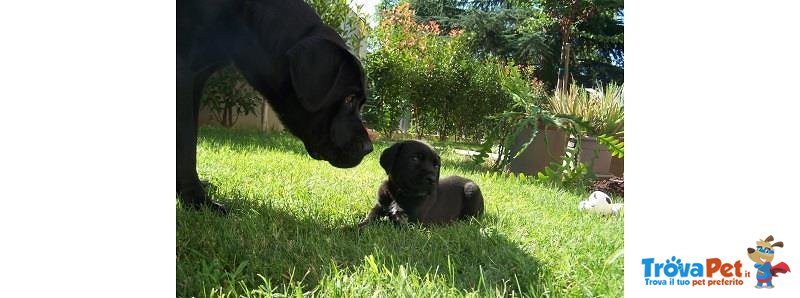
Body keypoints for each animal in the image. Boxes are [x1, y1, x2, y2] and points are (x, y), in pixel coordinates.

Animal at [178, 0, 372, 212]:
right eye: (349, 98)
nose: (368, 148)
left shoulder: (197, 78)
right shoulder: (184, 72)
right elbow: (186, 145)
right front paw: (197, 200)